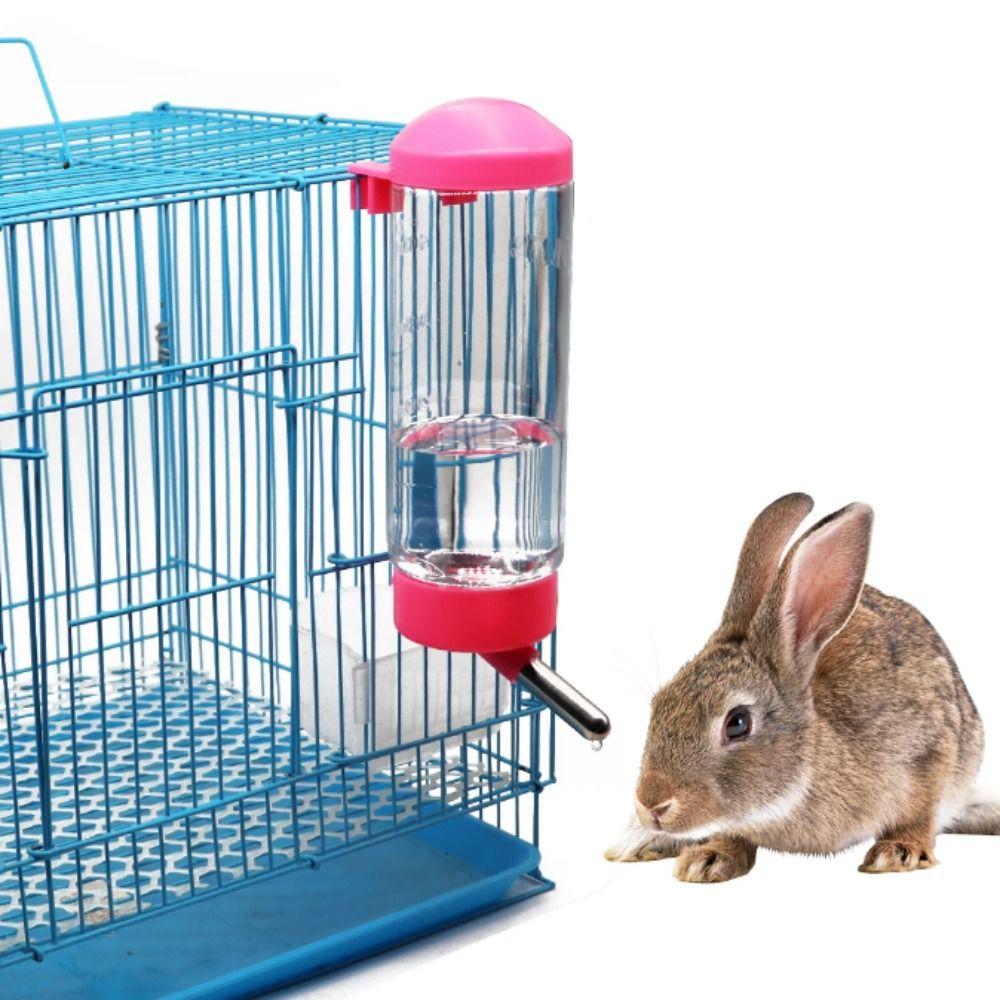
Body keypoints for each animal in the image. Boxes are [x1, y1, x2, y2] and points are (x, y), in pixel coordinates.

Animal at [604, 493, 1000, 882]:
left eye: (737, 722)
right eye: (658, 704)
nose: (651, 804)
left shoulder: (930, 753)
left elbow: (919, 814)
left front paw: (898, 852)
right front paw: (708, 858)